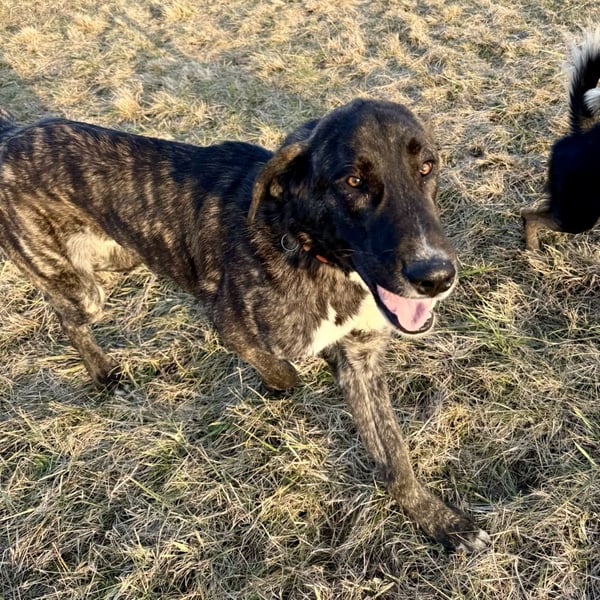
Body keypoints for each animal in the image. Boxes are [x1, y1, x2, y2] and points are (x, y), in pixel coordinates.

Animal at [0, 98, 490, 552]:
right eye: (352, 181)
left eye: (427, 167)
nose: (436, 277)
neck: (309, 249)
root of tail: (11, 134)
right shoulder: (229, 325)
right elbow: (278, 366)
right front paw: (281, 384)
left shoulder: (362, 360)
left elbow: (394, 452)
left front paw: (437, 520)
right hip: (84, 290)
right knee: (66, 315)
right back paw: (103, 373)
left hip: (120, 256)